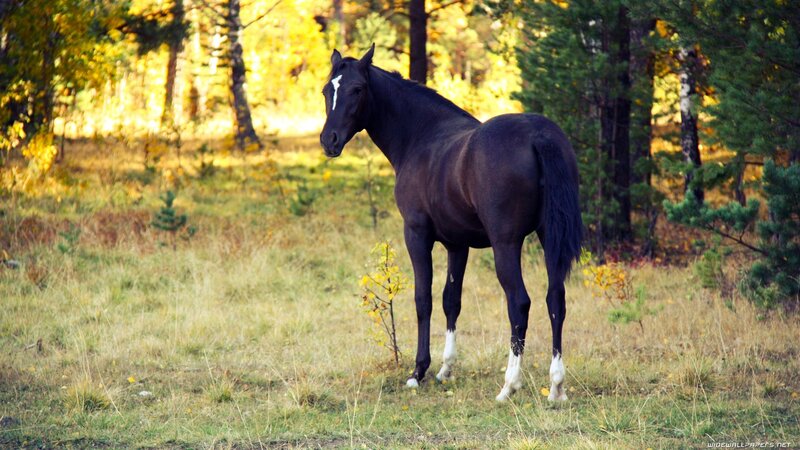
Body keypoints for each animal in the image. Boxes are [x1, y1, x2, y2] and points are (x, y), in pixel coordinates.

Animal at [319, 44, 583, 402]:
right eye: (326, 90)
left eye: (357, 89)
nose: (329, 140)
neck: (421, 137)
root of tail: (539, 135)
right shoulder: (458, 244)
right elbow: (451, 300)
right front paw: (445, 369)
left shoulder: (417, 235)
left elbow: (424, 300)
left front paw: (419, 371)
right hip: (548, 238)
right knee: (555, 299)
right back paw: (556, 386)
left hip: (506, 244)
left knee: (519, 303)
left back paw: (508, 385)